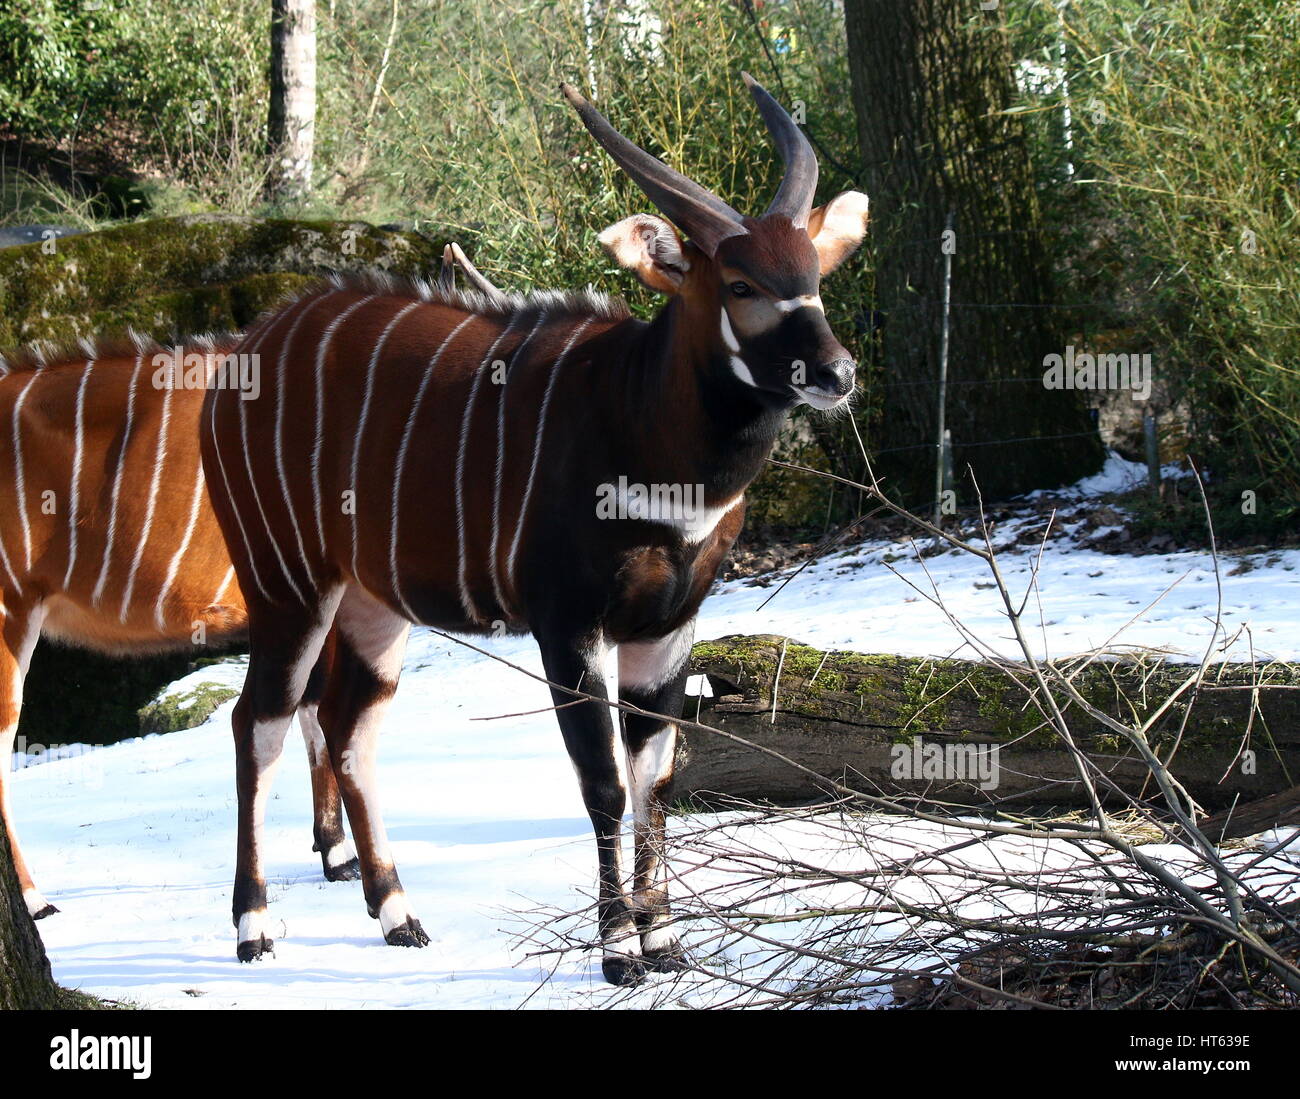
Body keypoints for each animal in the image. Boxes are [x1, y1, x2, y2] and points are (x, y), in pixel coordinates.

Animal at [202, 77, 868, 988]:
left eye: (815, 275)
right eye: (739, 284)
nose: (839, 373)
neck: (637, 415)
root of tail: (238, 356)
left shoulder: (668, 628)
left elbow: (658, 776)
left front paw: (666, 942)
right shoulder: (568, 624)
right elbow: (605, 783)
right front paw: (619, 952)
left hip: (375, 605)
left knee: (348, 728)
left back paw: (398, 912)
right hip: (288, 584)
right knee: (259, 722)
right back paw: (254, 926)